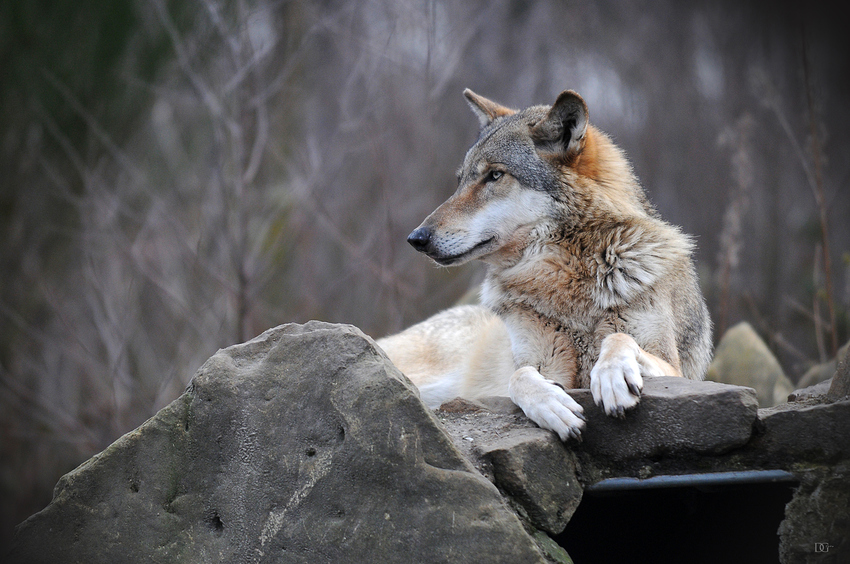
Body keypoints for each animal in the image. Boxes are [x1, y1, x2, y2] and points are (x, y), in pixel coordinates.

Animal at [376, 89, 708, 440]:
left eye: (495, 175)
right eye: (460, 181)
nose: (416, 238)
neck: (565, 280)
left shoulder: (678, 370)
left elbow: (619, 339)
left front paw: (612, 376)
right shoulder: (541, 363)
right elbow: (519, 376)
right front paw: (553, 406)